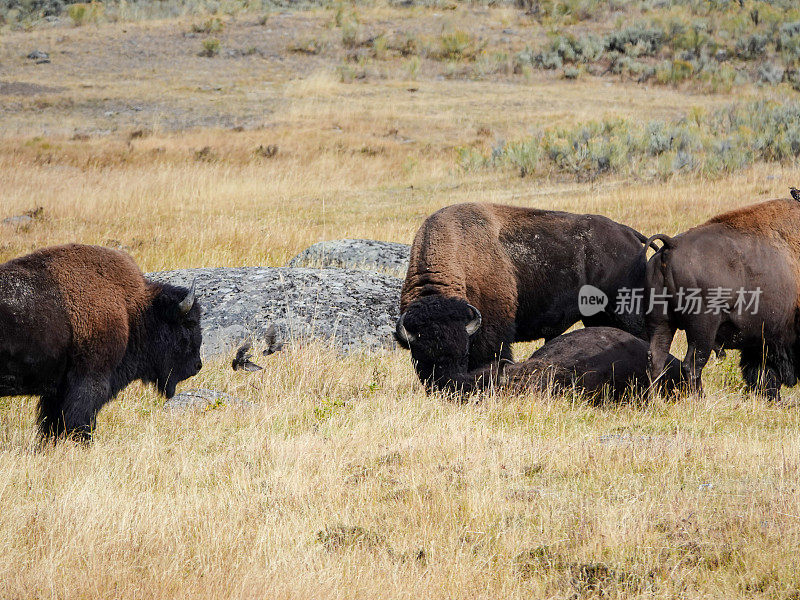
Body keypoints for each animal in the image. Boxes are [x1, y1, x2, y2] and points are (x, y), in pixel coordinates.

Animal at [0, 243, 203, 440]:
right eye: (189, 323)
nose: (197, 365)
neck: (133, 311)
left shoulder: (57, 393)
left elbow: (52, 425)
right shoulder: (91, 380)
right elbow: (79, 423)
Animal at [396, 204, 652, 396]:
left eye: (463, 353)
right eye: (420, 358)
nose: (448, 387)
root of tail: (628, 233)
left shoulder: (492, 334)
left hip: (625, 310)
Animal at [648, 197, 800, 400]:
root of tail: (670, 245)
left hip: (661, 322)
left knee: (656, 360)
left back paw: (654, 400)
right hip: (702, 329)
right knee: (692, 364)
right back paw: (699, 399)